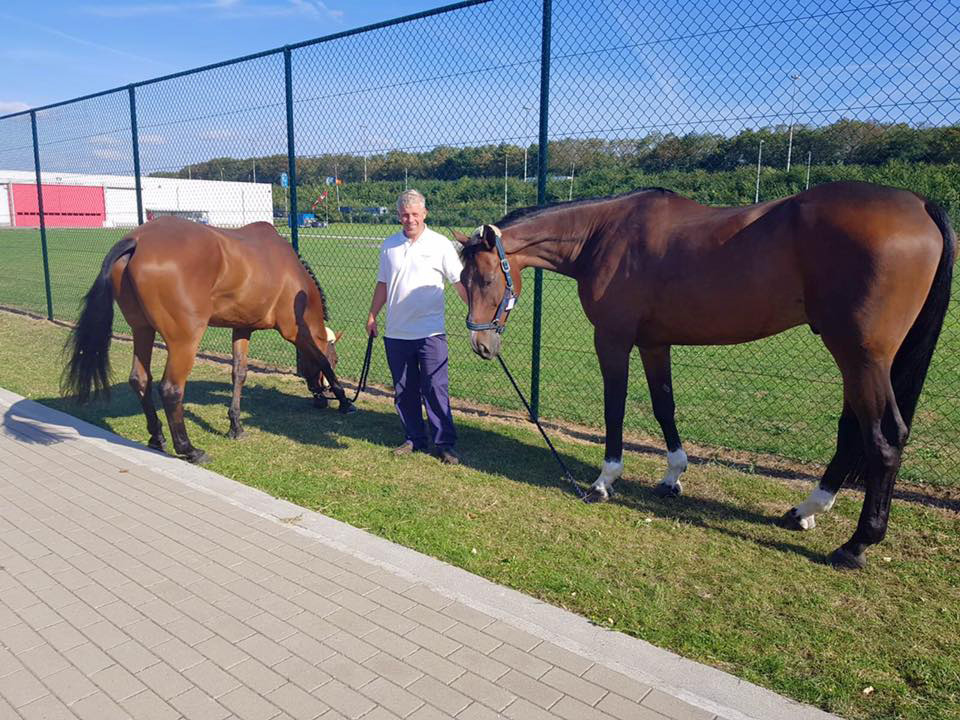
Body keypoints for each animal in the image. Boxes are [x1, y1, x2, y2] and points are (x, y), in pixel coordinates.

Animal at [64, 214, 356, 464]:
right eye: (338, 359)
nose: (320, 398)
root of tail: (137, 240)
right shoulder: (295, 331)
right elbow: (321, 360)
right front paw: (344, 400)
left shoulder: (242, 328)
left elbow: (239, 373)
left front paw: (235, 425)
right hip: (185, 340)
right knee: (171, 388)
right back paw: (189, 449)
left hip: (142, 329)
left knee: (140, 379)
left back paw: (157, 437)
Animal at [456, 180, 952, 568]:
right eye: (462, 280)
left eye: (486, 280)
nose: (482, 346)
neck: (604, 235)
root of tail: (919, 203)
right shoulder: (654, 342)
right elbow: (664, 405)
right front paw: (673, 476)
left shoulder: (613, 340)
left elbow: (615, 409)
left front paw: (604, 482)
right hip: (856, 358)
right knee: (853, 433)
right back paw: (805, 510)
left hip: (860, 356)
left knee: (883, 438)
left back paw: (856, 544)